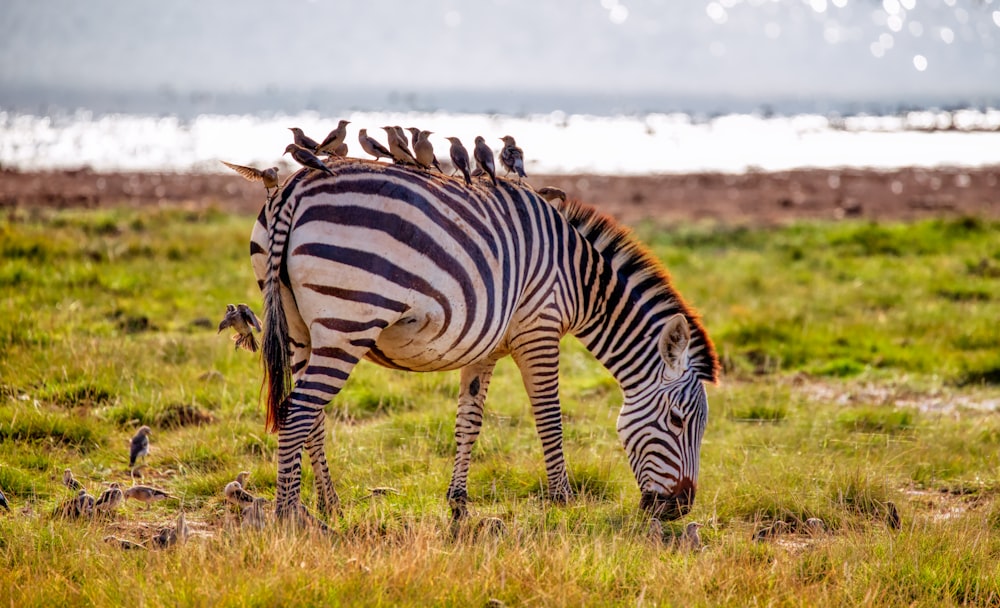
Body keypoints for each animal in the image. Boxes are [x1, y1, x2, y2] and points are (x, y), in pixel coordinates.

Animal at [250, 159, 720, 524]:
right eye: (678, 420)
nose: (679, 510)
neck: (579, 278)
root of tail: (296, 184)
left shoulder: (486, 347)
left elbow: (469, 422)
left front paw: (458, 505)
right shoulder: (539, 329)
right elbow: (550, 416)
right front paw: (563, 502)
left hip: (299, 329)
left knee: (311, 414)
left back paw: (328, 505)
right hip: (347, 322)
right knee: (299, 410)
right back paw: (288, 516)